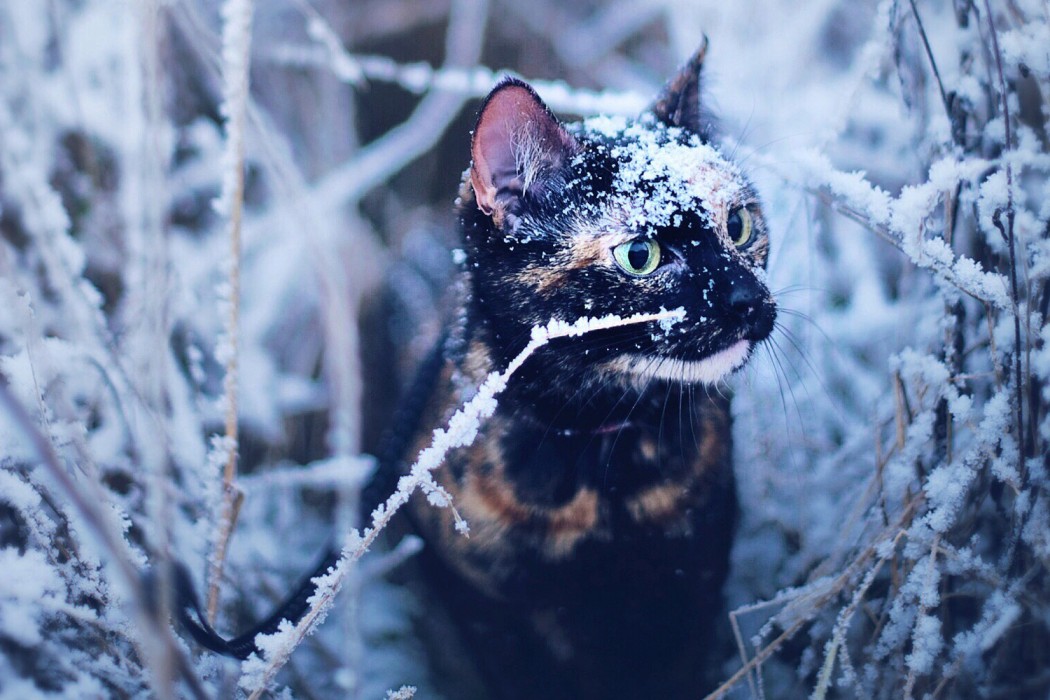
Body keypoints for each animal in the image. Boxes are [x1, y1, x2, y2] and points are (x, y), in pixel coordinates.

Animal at [176, 39, 776, 700]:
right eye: (640, 255)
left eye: (740, 224)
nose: (748, 298)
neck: (596, 462)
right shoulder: (486, 608)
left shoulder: (692, 584)